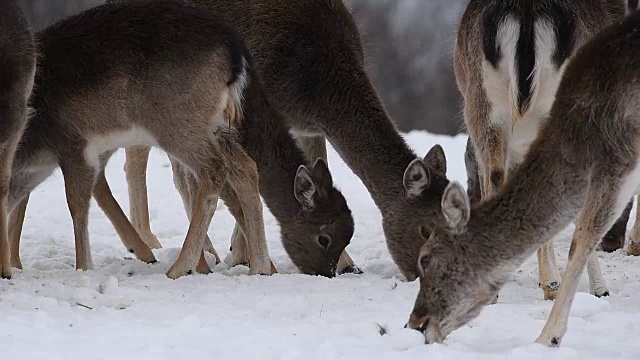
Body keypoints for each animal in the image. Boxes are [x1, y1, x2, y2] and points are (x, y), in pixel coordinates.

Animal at [7, 0, 350, 278]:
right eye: (324, 238)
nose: (330, 272)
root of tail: (236, 55)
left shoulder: (74, 145)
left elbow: (75, 202)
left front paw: (81, 268)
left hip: (178, 124)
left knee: (213, 170)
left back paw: (180, 265)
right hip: (212, 127)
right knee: (242, 167)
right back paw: (257, 267)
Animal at [94, 0, 450, 282]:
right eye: (426, 229)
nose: (423, 276)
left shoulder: (308, 128)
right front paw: (247, 256)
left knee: (181, 170)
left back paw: (205, 251)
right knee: (137, 155)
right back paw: (149, 240)